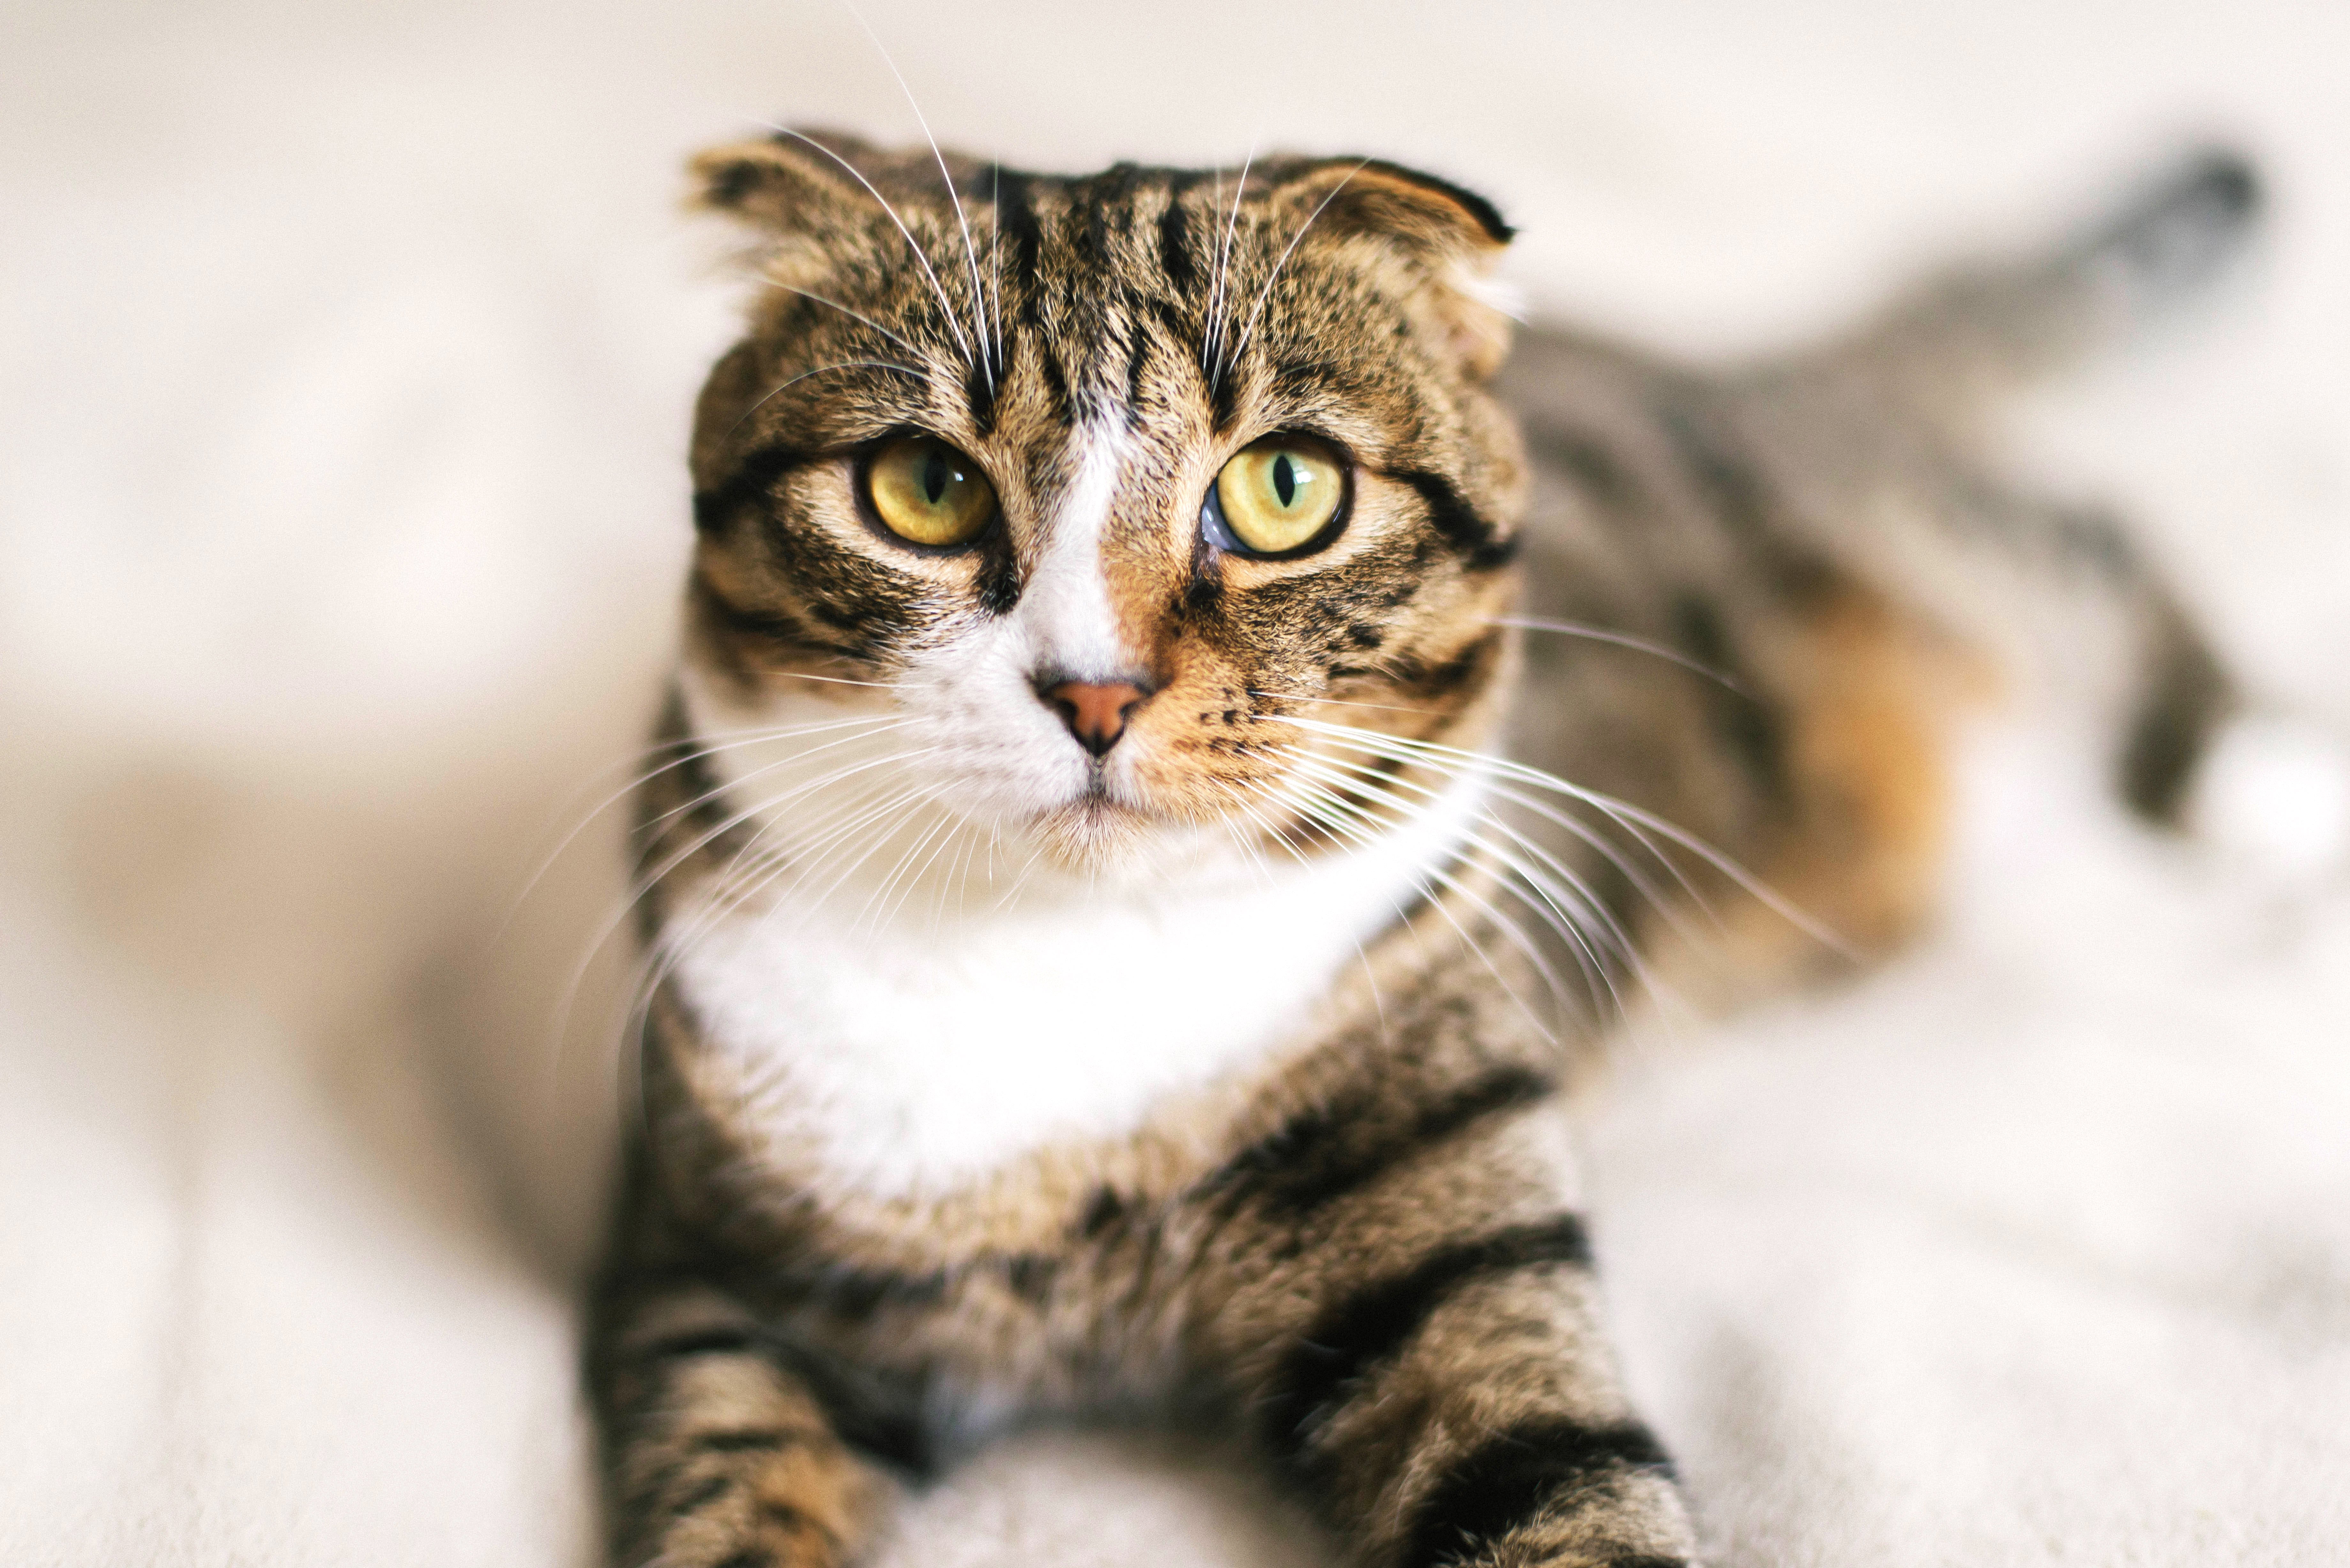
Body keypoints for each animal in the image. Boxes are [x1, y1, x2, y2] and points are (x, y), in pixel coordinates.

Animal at [578, 132, 2265, 1568]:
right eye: (921, 489)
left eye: (1283, 488)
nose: (1093, 691)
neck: (1073, 986)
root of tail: (1733, 370)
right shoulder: (710, 1283)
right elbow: (730, 1489)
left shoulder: (1453, 1215)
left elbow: (1551, 1471)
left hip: (1918, 535)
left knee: (2091, 545)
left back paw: (2258, 778)